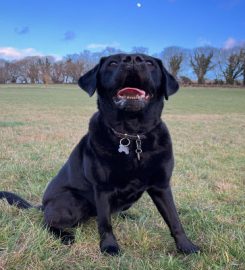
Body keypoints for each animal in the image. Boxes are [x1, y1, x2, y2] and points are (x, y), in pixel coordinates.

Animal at [0, 53, 199, 255]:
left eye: (150, 63)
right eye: (113, 62)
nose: (132, 60)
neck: (132, 135)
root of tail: (43, 205)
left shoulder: (161, 185)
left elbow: (174, 219)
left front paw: (186, 246)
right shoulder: (103, 188)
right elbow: (104, 223)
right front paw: (109, 246)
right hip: (73, 200)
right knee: (47, 222)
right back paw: (64, 236)